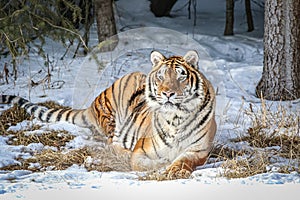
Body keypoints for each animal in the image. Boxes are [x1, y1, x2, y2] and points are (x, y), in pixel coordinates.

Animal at [0, 50, 216, 178]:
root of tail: (94, 102)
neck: (176, 118)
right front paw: (162, 165)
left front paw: (174, 170)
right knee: (111, 144)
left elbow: (184, 160)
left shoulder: (199, 150)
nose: (167, 93)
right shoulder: (142, 149)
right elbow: (141, 163)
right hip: (111, 117)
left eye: (181, 76)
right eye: (161, 76)